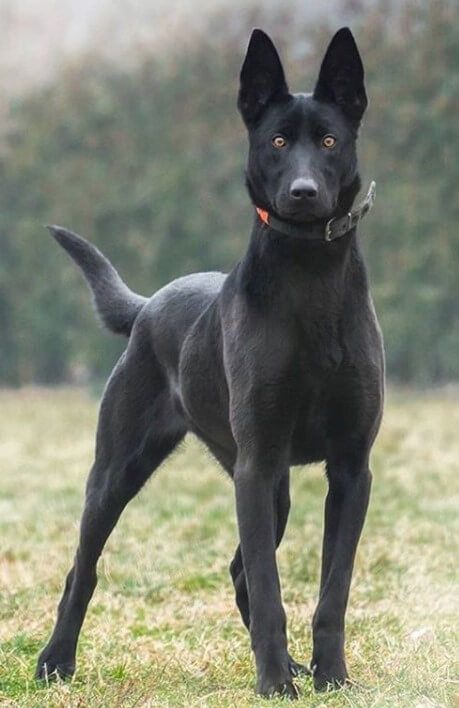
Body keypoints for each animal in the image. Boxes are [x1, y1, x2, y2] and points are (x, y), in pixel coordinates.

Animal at [36, 26, 384, 696]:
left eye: (329, 141)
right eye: (278, 141)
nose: (303, 195)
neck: (310, 275)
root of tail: (148, 304)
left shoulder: (351, 469)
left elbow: (332, 590)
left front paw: (329, 677)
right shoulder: (258, 463)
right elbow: (273, 589)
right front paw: (275, 686)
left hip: (271, 488)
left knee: (240, 570)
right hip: (121, 471)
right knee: (82, 570)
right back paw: (55, 662)